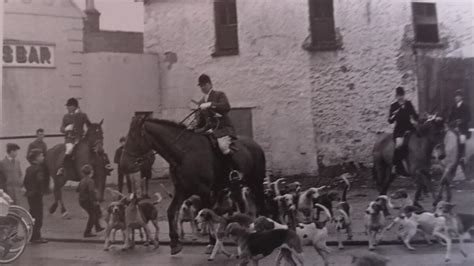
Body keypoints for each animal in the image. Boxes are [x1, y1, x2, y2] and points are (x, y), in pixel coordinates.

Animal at [119, 115, 266, 255]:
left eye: (133, 137)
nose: (123, 164)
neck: (183, 154)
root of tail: (255, 144)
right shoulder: (181, 190)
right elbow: (171, 212)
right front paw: (174, 244)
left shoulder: (205, 191)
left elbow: (207, 214)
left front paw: (211, 243)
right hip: (234, 185)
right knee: (241, 203)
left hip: (255, 181)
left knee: (259, 201)